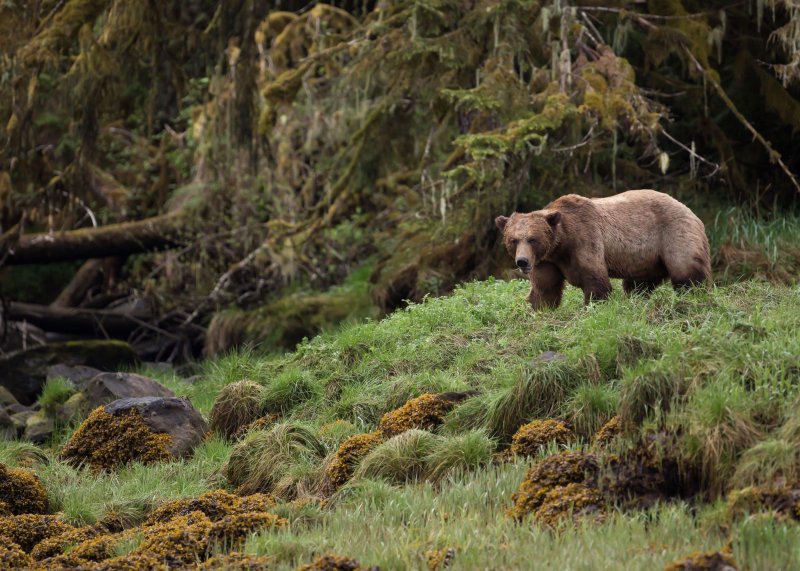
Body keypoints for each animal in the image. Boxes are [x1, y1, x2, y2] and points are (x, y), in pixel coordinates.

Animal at [494, 190, 712, 310]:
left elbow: (595, 281)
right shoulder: (546, 261)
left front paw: (592, 307)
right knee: (638, 284)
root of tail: (690, 210)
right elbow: (545, 289)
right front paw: (540, 308)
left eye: (533, 239)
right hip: (645, 258)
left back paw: (695, 294)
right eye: (513, 240)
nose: (522, 261)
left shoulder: (585, 240)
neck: (561, 245)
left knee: (686, 270)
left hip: (674, 233)